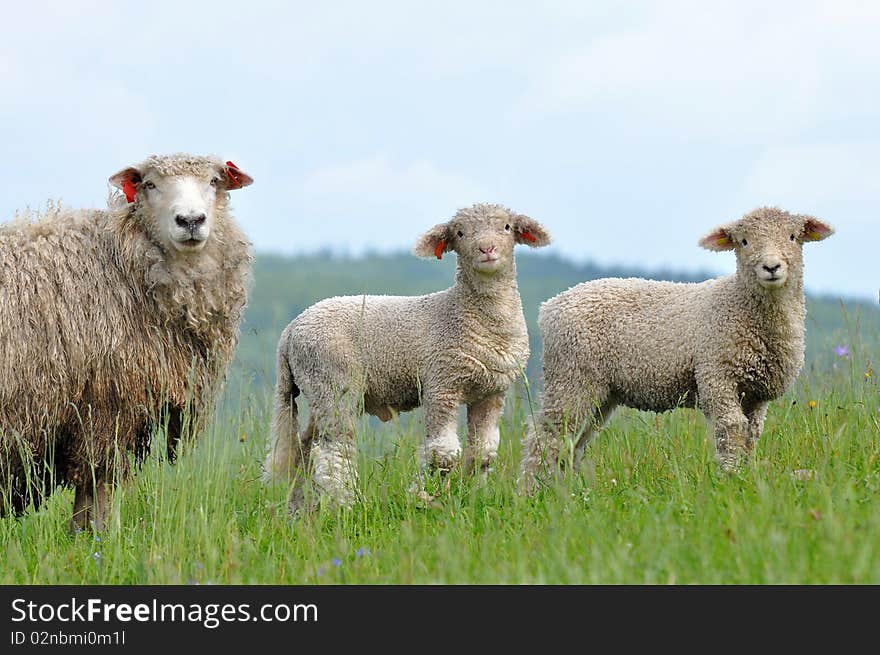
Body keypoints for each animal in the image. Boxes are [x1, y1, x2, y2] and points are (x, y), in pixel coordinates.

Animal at [0, 155, 254, 532]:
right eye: (150, 184)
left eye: (214, 181)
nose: (191, 221)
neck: (120, 262)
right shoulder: (108, 405)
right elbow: (100, 483)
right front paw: (103, 537)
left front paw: (83, 536)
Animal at [262, 202, 552, 510]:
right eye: (460, 233)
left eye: (507, 227)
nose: (487, 249)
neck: (466, 311)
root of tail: (290, 331)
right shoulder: (442, 382)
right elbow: (443, 453)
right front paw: (424, 496)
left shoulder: (491, 392)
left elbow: (483, 454)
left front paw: (475, 497)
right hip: (333, 381)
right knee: (333, 450)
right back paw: (343, 505)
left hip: (318, 389)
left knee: (305, 447)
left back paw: (300, 508)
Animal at [520, 206, 836, 492]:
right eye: (744, 241)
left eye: (793, 236)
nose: (771, 268)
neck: (740, 305)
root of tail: (549, 307)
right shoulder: (716, 376)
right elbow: (731, 428)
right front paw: (730, 478)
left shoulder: (756, 393)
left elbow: (751, 434)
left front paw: (745, 475)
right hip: (571, 376)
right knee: (545, 435)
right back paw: (532, 492)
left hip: (600, 391)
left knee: (574, 441)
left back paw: (565, 492)